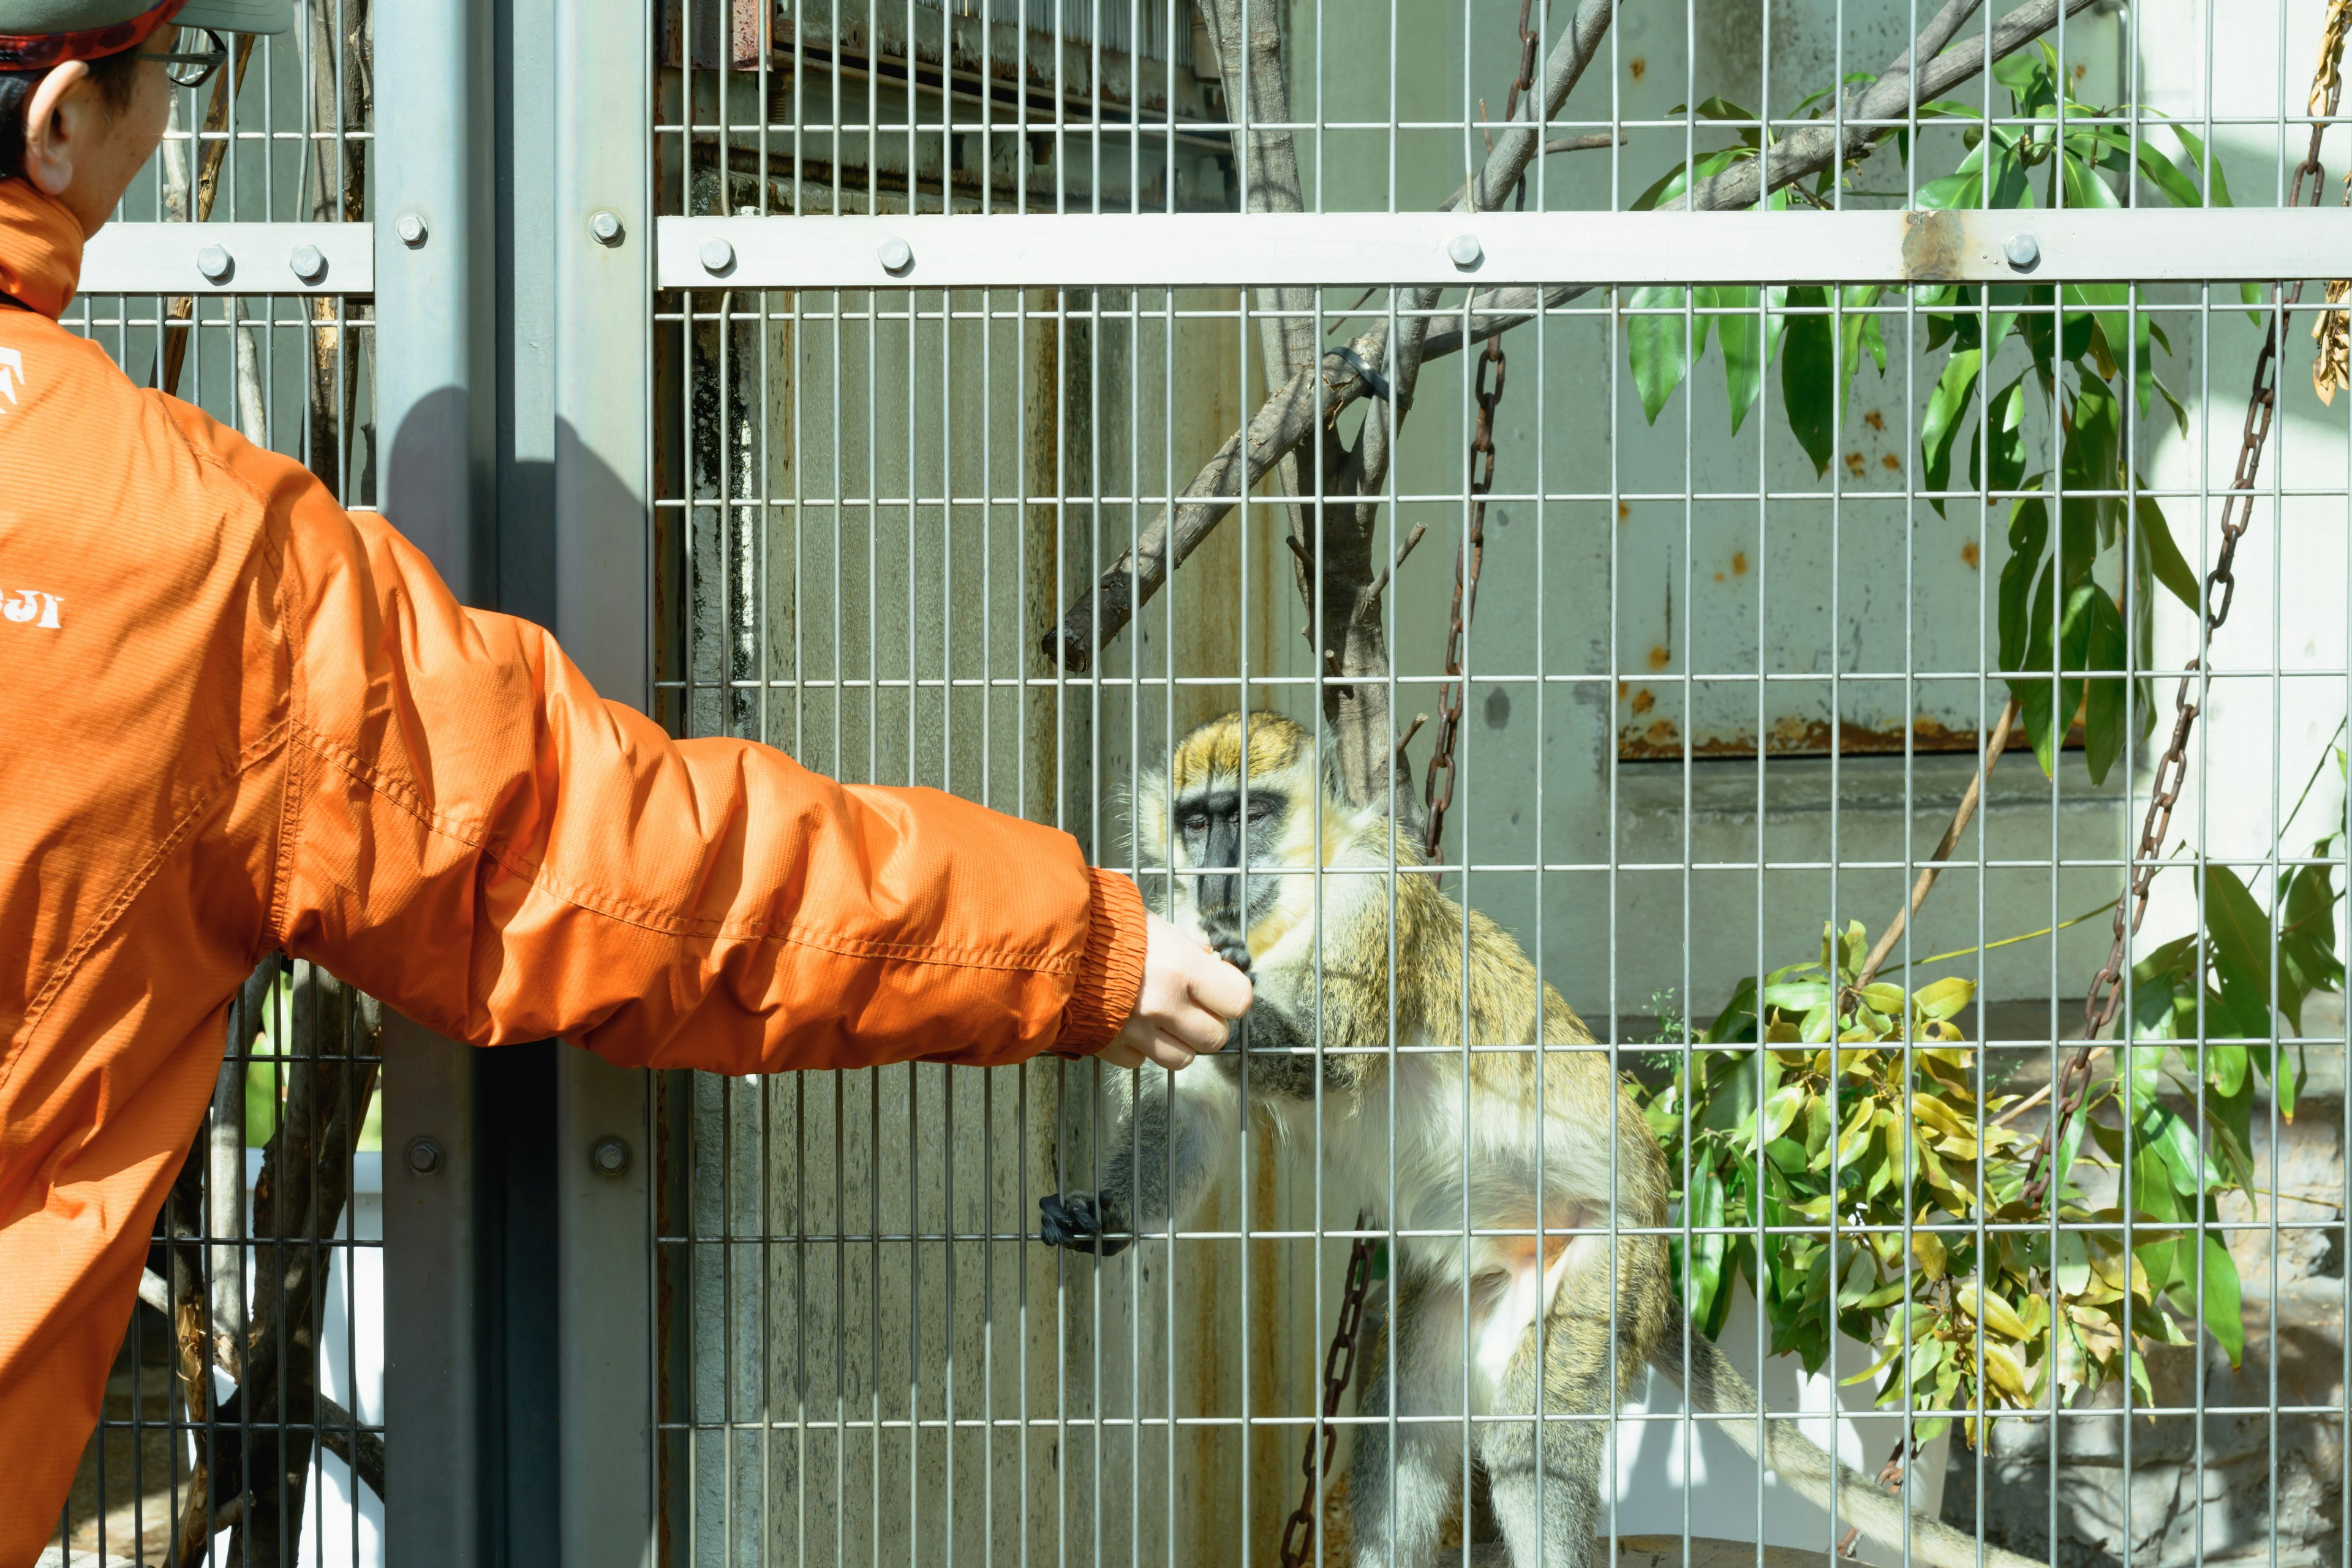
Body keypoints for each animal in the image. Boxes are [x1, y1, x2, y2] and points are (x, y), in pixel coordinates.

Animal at [1030, 719, 2041, 1568]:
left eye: (1251, 813)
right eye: (1197, 821)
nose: (1217, 873)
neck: (1286, 914)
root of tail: (1655, 1232)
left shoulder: (1372, 897)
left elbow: (1331, 1059)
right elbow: (1189, 1114)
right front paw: (1106, 1210)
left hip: (1603, 1277)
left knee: (1528, 1443)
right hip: (1468, 1300)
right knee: (1401, 1428)